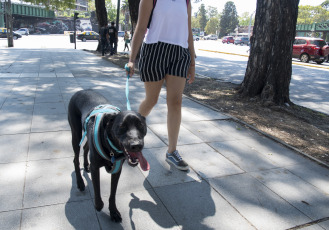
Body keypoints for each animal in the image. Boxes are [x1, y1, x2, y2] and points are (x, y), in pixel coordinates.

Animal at [67, 89, 149, 222]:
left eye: (141, 125)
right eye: (121, 126)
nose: (136, 145)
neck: (111, 149)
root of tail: (80, 91)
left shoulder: (117, 170)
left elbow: (113, 193)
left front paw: (113, 211)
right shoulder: (96, 168)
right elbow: (97, 189)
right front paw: (99, 205)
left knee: (85, 148)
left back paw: (86, 165)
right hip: (76, 134)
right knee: (75, 159)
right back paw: (80, 182)